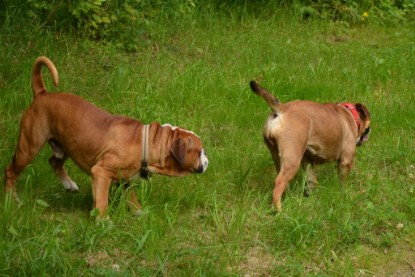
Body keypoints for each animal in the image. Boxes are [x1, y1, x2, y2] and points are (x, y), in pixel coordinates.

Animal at [4, 56, 210, 218]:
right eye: (199, 151)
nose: (207, 158)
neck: (147, 143)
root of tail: (42, 93)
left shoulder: (125, 179)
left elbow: (130, 196)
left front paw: (138, 211)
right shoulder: (101, 172)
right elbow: (102, 199)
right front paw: (103, 220)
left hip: (66, 145)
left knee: (54, 162)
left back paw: (69, 184)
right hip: (29, 147)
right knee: (10, 171)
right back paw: (11, 199)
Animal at [249, 81, 372, 210]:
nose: (370, 130)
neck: (349, 114)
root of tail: (282, 109)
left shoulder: (307, 160)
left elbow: (311, 179)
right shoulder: (346, 161)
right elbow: (342, 181)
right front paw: (343, 193)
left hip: (277, 155)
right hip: (292, 159)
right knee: (279, 182)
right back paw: (278, 210)